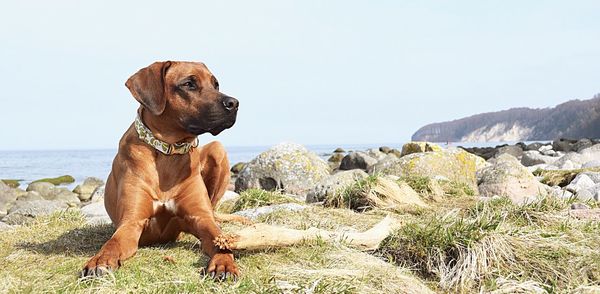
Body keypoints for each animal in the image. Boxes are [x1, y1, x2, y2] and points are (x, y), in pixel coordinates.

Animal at [82, 60, 241, 280]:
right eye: (189, 84)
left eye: (216, 84)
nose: (234, 103)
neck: (168, 153)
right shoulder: (131, 223)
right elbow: (112, 243)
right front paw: (100, 260)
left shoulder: (201, 218)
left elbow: (219, 239)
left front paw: (224, 263)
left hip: (218, 149)